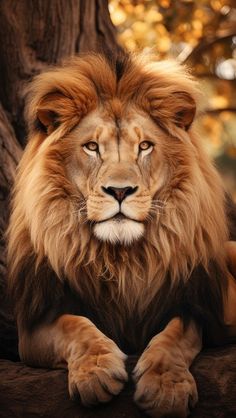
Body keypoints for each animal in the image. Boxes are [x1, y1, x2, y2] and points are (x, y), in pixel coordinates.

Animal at [6, 54, 236, 418]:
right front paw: (96, 372)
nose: (119, 191)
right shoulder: (34, 324)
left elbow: (175, 337)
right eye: (91, 147)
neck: (121, 259)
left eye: (144, 146)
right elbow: (74, 326)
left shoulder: (192, 305)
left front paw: (165, 388)